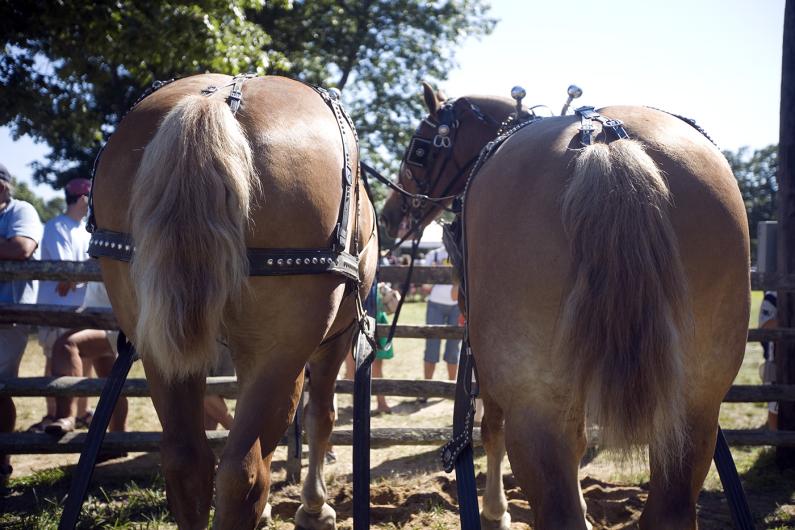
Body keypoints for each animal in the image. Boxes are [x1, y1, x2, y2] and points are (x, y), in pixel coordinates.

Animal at [91, 73, 378, 529]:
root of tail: (217, 99)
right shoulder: (336, 338)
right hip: (281, 349)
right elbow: (321, 417)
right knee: (244, 470)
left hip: (157, 342)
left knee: (187, 462)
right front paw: (315, 509)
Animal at [381, 83, 750, 529]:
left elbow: (490, 427)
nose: (388, 216)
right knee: (669, 509)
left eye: (418, 149)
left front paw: (495, 513)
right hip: (695, 404)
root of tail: (604, 138)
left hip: (535, 404)